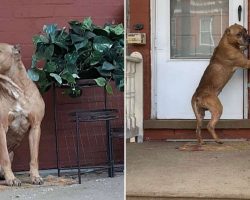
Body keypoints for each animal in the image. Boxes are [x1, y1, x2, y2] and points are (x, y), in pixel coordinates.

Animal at [0, 43, 44, 186]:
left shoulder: (35, 126)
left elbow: (34, 158)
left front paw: (35, 176)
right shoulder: (1, 128)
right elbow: (5, 158)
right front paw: (11, 178)